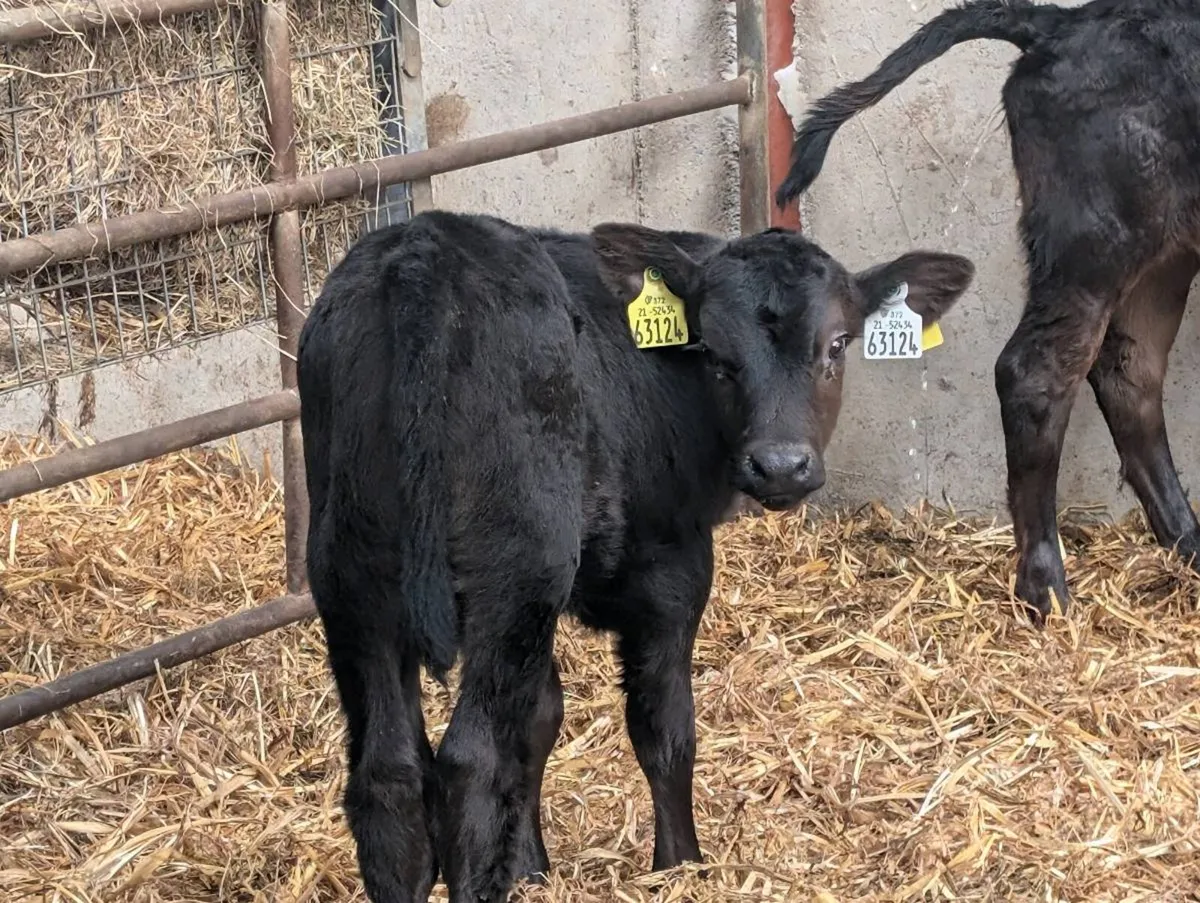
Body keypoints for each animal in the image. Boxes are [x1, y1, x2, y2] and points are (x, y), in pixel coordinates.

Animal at [296, 209, 973, 903]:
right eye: (714, 354)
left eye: (836, 345)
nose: (781, 464)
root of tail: (426, 251)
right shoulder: (672, 569)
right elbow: (664, 728)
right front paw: (680, 865)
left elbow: (539, 719)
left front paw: (531, 866)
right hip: (511, 573)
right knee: (470, 763)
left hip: (354, 575)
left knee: (389, 774)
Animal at [775, 0, 1200, 621]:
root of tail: (1062, 24)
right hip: (1095, 240)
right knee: (1037, 372)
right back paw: (1045, 588)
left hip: (1165, 252)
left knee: (1130, 368)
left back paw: (1187, 544)